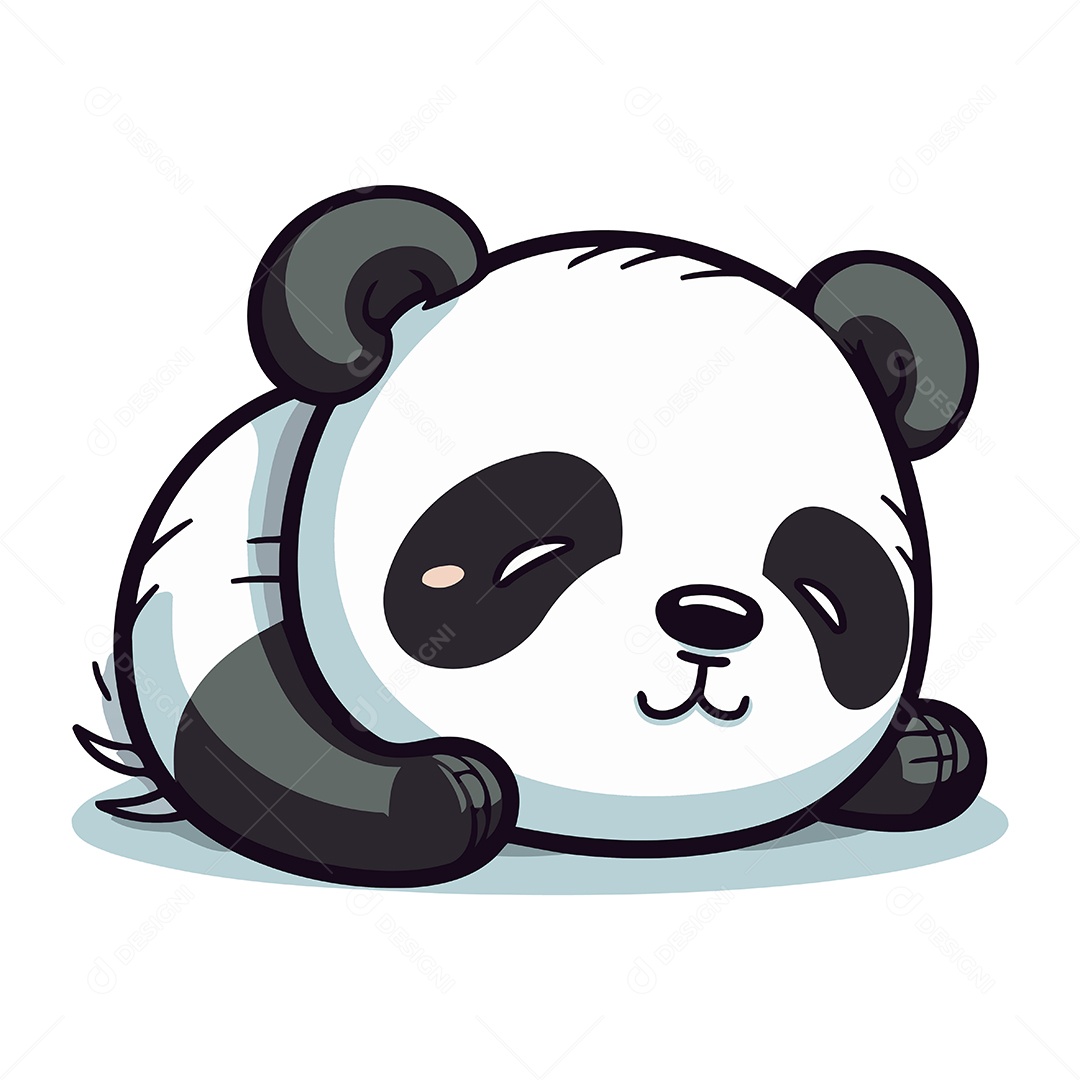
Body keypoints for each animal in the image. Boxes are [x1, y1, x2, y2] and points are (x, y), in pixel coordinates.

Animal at [76, 186, 987, 887]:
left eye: (824, 592)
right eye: (536, 548)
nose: (711, 618)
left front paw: (927, 748)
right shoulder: (218, 579)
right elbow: (255, 739)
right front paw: (449, 787)